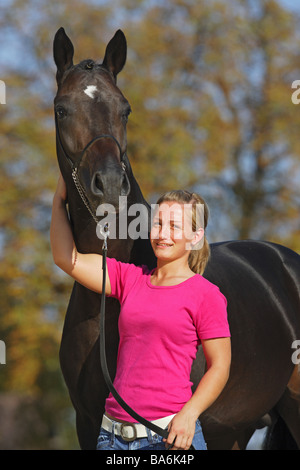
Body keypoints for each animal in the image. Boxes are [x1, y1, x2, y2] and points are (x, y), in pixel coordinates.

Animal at [53, 27, 300, 450]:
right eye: (61, 109)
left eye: (125, 109)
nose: (110, 184)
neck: (100, 304)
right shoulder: (87, 422)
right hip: (235, 429)